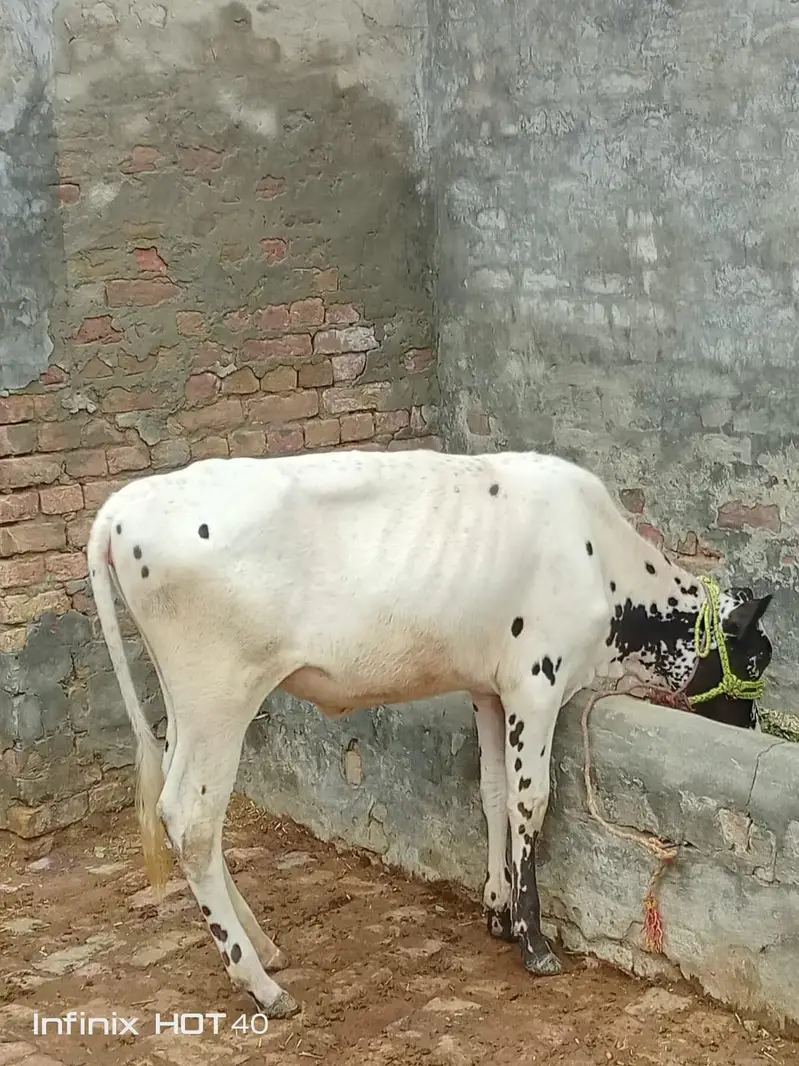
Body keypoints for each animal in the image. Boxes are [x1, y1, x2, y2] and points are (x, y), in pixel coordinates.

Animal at [86, 448, 774, 1019]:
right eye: (758, 660)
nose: (752, 725)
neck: (603, 566)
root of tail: (121, 510)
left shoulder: (490, 688)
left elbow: (493, 793)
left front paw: (497, 908)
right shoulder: (537, 682)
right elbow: (530, 803)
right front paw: (533, 941)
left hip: (187, 706)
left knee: (183, 813)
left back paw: (264, 947)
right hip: (219, 698)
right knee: (192, 820)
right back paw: (260, 984)